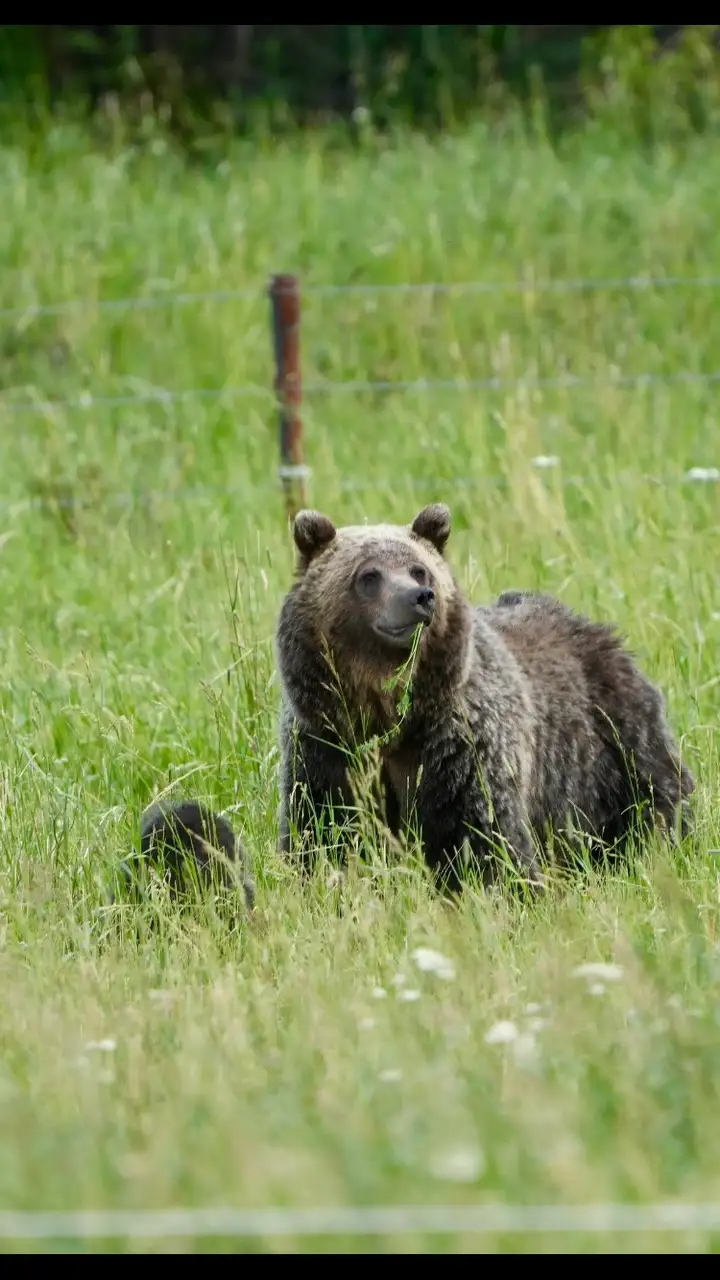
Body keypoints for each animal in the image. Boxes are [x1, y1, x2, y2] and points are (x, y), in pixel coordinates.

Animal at [272, 499, 691, 890]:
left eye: (419, 569)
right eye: (369, 575)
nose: (420, 596)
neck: (390, 712)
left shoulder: (463, 745)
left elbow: (486, 835)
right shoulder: (327, 745)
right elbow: (323, 830)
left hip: (613, 738)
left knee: (653, 798)